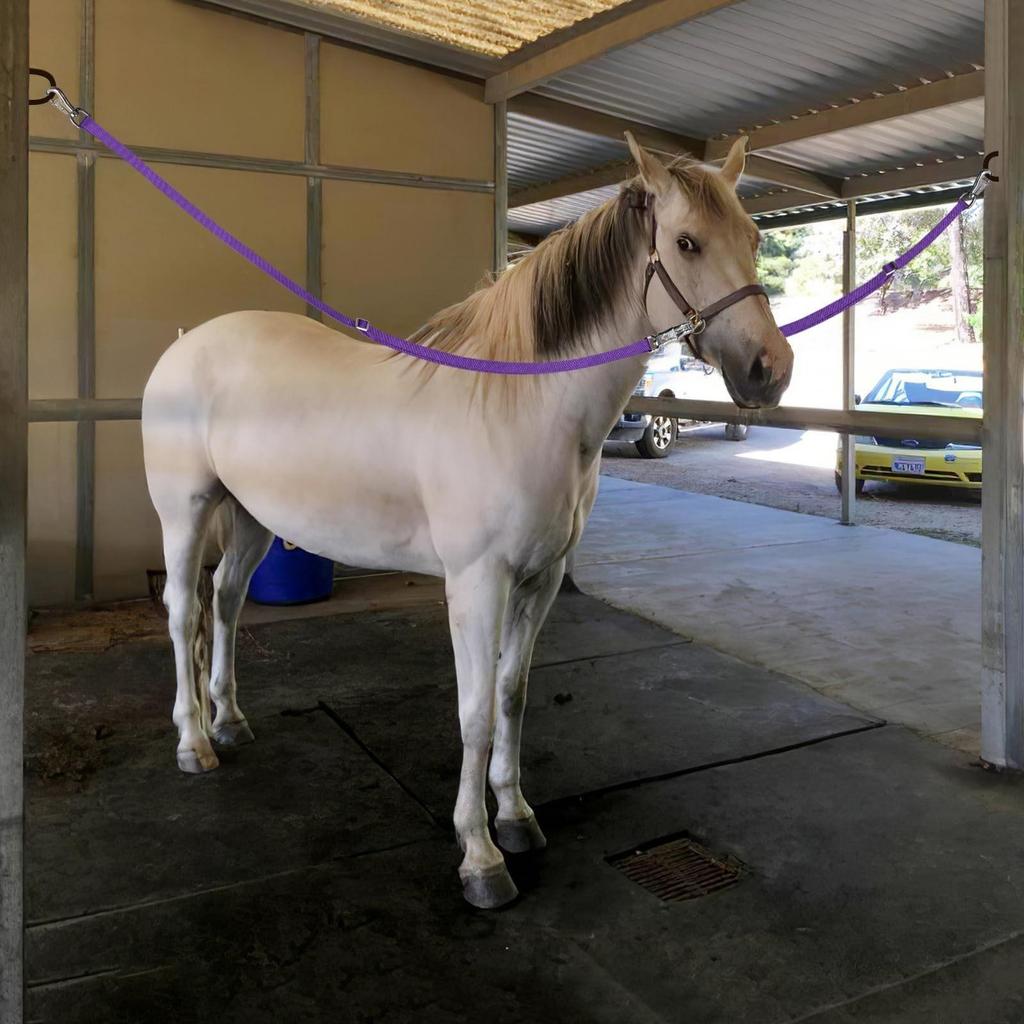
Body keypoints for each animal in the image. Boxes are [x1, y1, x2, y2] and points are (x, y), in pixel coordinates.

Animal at [141, 133, 794, 908]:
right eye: (687, 242)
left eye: (753, 237)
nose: (770, 368)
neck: (522, 407)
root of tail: (186, 344)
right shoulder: (478, 583)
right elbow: (475, 710)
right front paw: (480, 857)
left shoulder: (541, 581)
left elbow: (512, 694)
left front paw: (514, 817)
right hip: (184, 513)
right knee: (184, 612)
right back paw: (193, 743)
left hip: (250, 517)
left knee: (227, 601)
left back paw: (231, 722)